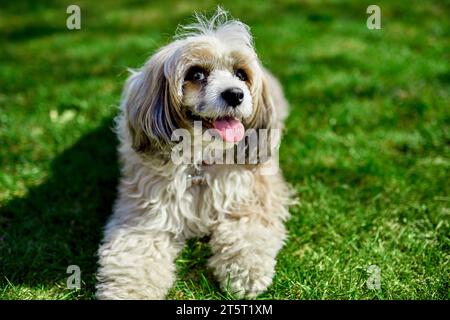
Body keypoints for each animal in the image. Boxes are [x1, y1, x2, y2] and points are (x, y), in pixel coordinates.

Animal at [95, 7, 294, 300]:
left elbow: (248, 234)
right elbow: (134, 256)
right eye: (196, 74)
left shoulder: (255, 198)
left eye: (241, 74)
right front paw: (128, 291)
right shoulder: (144, 219)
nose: (235, 94)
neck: (202, 159)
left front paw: (246, 272)